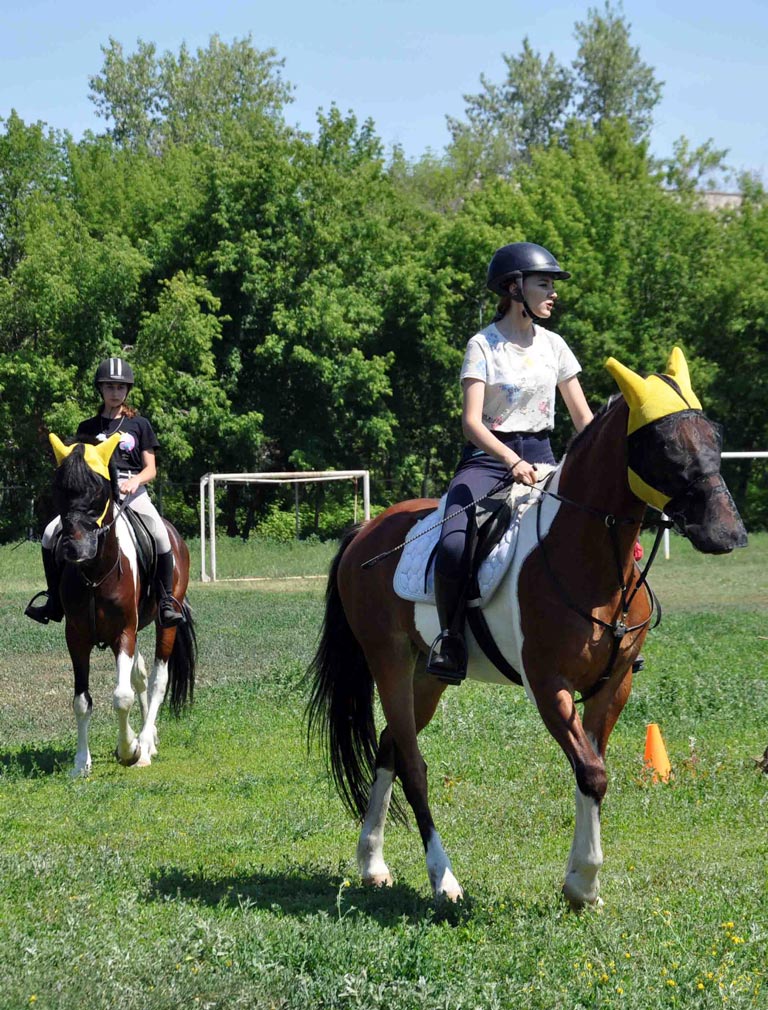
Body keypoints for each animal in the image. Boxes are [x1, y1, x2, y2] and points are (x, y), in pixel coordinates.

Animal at [48, 432, 196, 771]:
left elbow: (122, 696)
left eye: (99, 491)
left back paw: (145, 745)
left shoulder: (123, 633)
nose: (74, 548)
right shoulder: (76, 637)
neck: (95, 574)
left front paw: (131, 750)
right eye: (59, 489)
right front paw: (81, 763)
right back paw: (145, 739)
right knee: (140, 677)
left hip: (165, 623)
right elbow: (81, 701)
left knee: (156, 680)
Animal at [309, 349, 747, 909]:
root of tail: (366, 531)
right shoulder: (548, 685)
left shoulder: (614, 685)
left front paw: (582, 886)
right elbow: (591, 771)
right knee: (411, 763)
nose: (727, 533)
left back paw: (372, 864)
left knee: (389, 746)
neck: (586, 560)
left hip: (427, 673)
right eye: (664, 443)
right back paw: (443, 880)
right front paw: (583, 882)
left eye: (714, 434)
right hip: (388, 660)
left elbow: (593, 771)